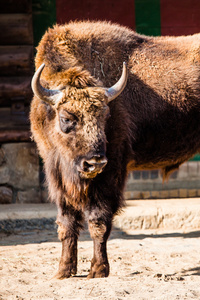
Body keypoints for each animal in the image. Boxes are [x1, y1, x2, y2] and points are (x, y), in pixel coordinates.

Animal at [30, 21, 200, 278]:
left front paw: (98, 270)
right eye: (66, 118)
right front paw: (64, 271)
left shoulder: (110, 174)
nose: (94, 163)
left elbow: (98, 222)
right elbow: (66, 223)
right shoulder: (57, 174)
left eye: (105, 116)